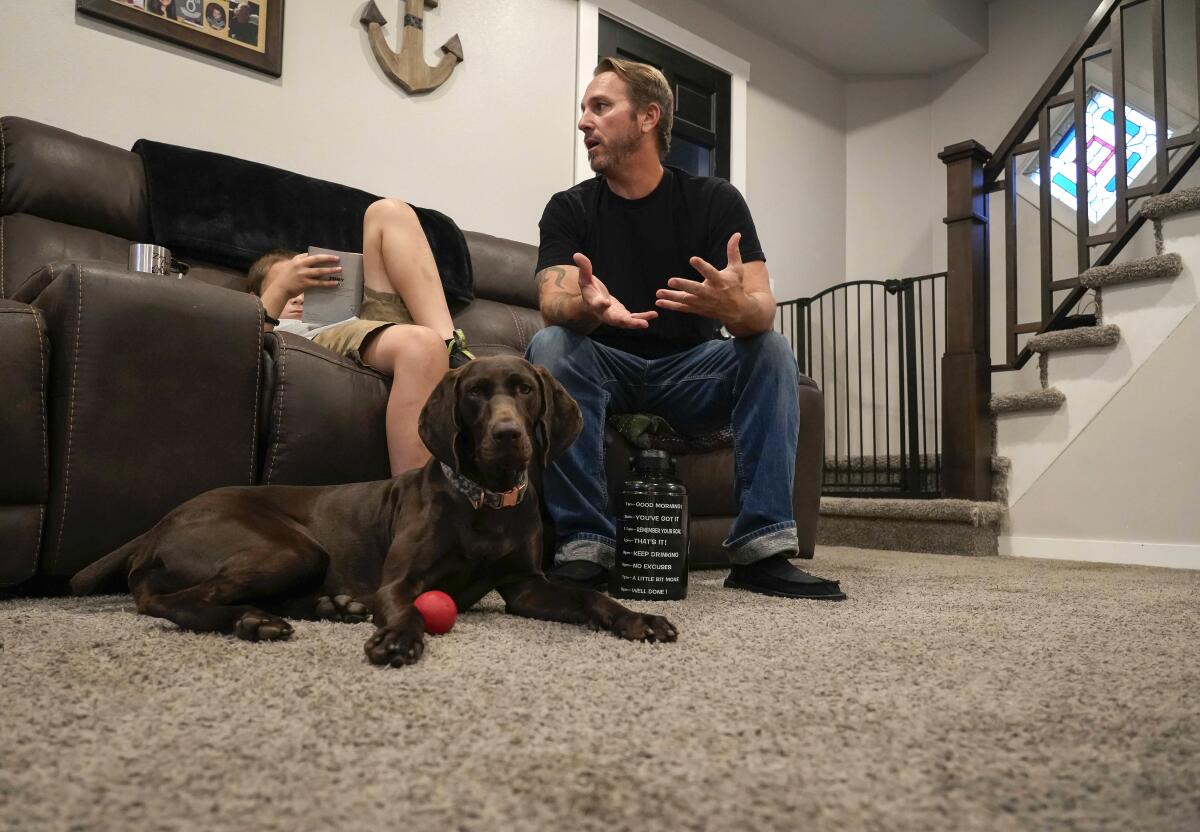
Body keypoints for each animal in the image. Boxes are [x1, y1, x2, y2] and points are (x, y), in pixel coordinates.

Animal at [72, 352, 676, 667]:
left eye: (524, 389)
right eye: (476, 393)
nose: (508, 436)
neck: (484, 500)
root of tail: (162, 522)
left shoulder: (526, 586)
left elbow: (590, 596)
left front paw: (639, 618)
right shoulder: (400, 582)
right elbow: (408, 608)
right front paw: (398, 638)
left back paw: (330, 607)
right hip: (289, 548)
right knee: (164, 601)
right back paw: (252, 620)